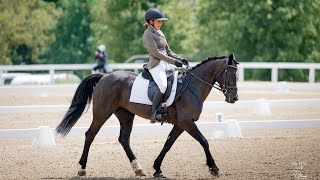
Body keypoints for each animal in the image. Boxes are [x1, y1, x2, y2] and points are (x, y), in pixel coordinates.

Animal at [56, 52, 239, 178]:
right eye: (230, 74)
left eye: (237, 74)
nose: (234, 98)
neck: (192, 87)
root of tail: (104, 76)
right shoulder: (187, 122)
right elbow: (204, 141)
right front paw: (214, 168)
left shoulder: (180, 124)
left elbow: (168, 144)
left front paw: (157, 168)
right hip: (102, 113)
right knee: (90, 135)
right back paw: (82, 168)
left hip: (126, 115)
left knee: (124, 139)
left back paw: (138, 169)